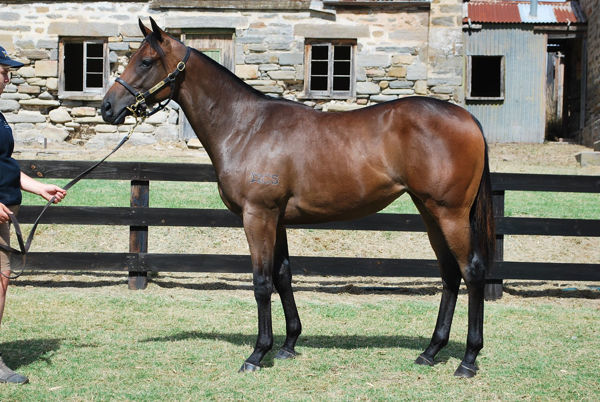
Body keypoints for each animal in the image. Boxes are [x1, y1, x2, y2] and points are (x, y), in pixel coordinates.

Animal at [103, 18, 494, 376]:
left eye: (146, 61)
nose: (107, 107)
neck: (246, 126)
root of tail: (468, 118)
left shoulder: (257, 215)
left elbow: (262, 282)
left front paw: (257, 353)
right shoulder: (277, 220)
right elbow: (283, 276)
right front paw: (289, 344)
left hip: (450, 214)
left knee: (471, 271)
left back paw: (468, 360)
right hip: (429, 212)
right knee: (449, 274)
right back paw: (430, 351)